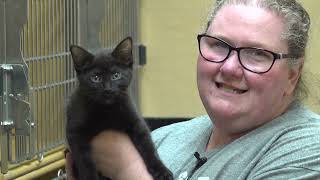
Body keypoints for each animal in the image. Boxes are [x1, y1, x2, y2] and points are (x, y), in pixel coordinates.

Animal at [66, 37, 174, 180]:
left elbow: (149, 147)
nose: (108, 89)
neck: (107, 110)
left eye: (116, 75)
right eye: (95, 78)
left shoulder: (136, 122)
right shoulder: (75, 132)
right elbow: (84, 162)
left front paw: (161, 170)